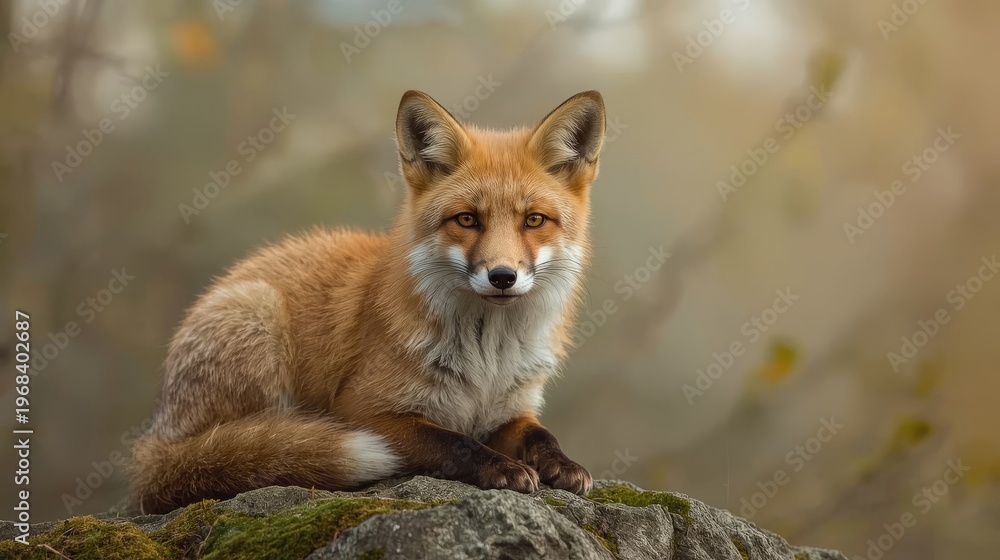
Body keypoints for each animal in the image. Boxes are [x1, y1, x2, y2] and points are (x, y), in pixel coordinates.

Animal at [129, 89, 607, 514]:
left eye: (534, 220)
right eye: (467, 220)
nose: (503, 277)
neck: (488, 359)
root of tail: (154, 437)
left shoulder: (511, 408)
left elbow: (542, 436)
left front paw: (562, 465)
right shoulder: (364, 411)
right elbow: (453, 441)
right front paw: (499, 468)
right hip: (258, 321)